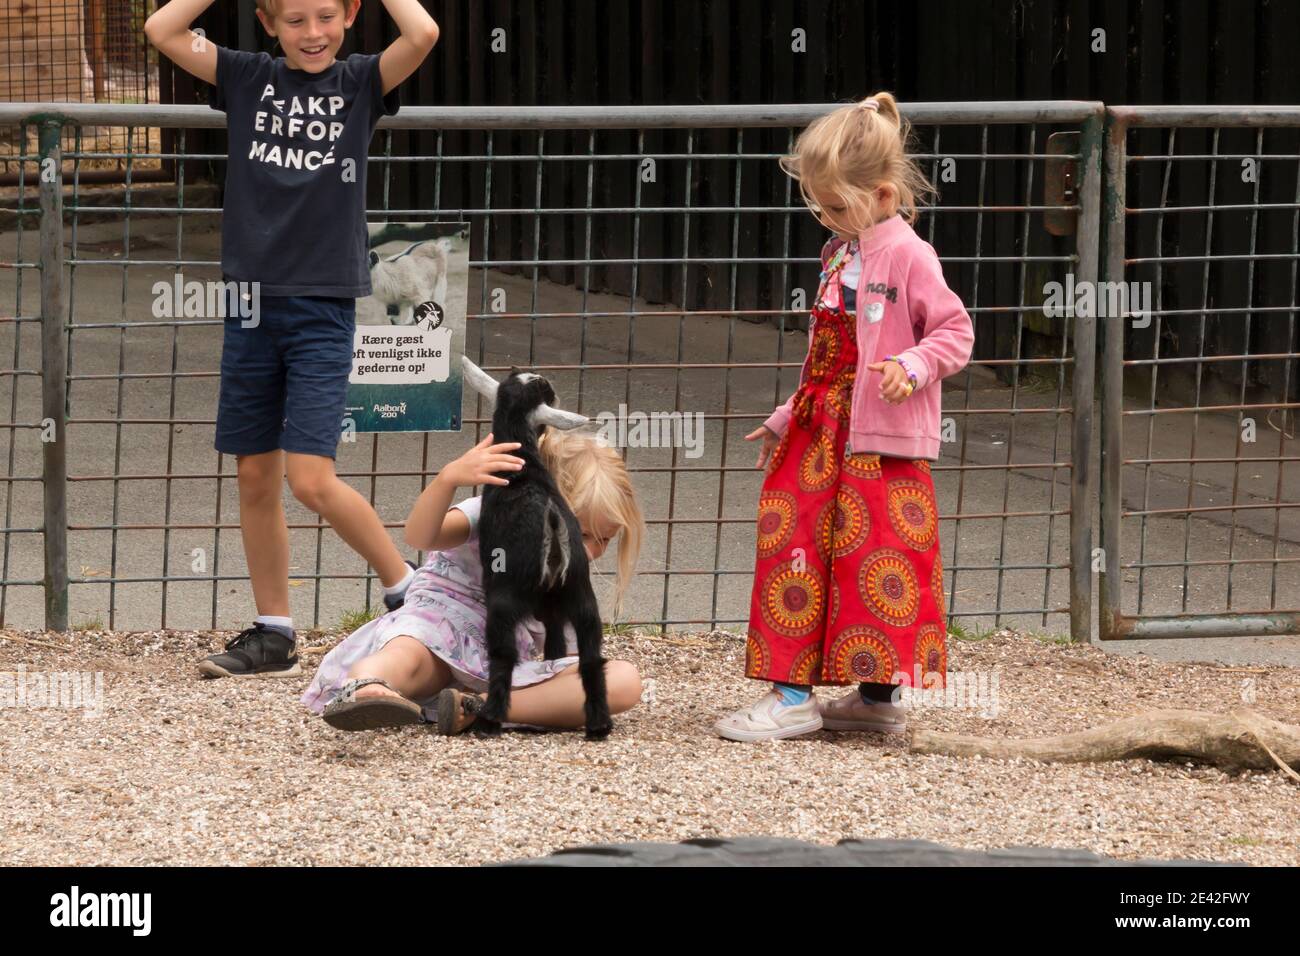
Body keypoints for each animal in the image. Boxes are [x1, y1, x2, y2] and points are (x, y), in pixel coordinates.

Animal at [462, 358, 613, 738]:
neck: (523, 464)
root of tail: (551, 522)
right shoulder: (554, 609)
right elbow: (557, 644)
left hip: (505, 599)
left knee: (503, 656)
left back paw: (488, 720)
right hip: (581, 598)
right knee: (591, 658)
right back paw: (599, 725)